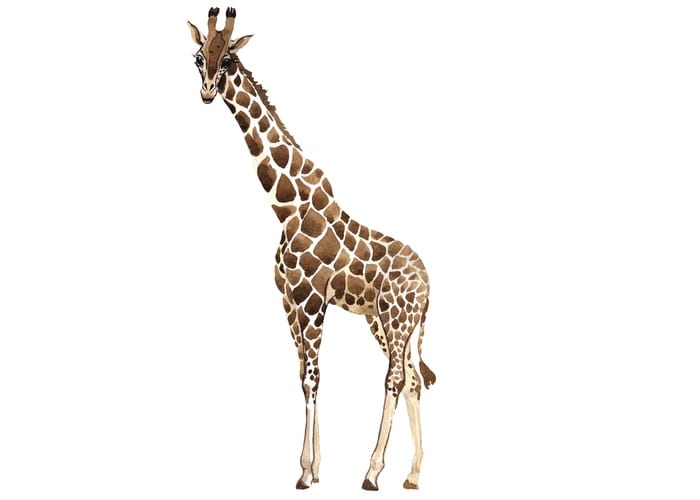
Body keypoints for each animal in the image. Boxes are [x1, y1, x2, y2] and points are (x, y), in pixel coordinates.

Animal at [188, 7, 436, 490]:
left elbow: (313, 378)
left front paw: (304, 472)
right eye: (197, 57)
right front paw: (316, 467)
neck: (286, 207)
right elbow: (302, 373)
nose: (207, 92)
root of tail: (429, 284)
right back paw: (414, 474)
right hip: (387, 322)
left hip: (395, 318)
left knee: (395, 377)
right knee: (414, 378)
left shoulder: (311, 299)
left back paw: (372, 472)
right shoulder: (288, 301)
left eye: (228, 59)